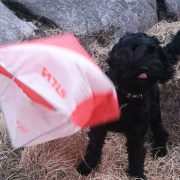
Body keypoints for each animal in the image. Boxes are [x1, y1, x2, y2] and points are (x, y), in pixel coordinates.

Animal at [76, 31, 180, 179]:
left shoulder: (136, 131)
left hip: (154, 111)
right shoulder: (100, 126)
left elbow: (137, 154)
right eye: (133, 48)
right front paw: (86, 167)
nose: (144, 68)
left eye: (153, 53)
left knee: (160, 130)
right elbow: (94, 147)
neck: (126, 97)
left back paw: (160, 150)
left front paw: (137, 175)